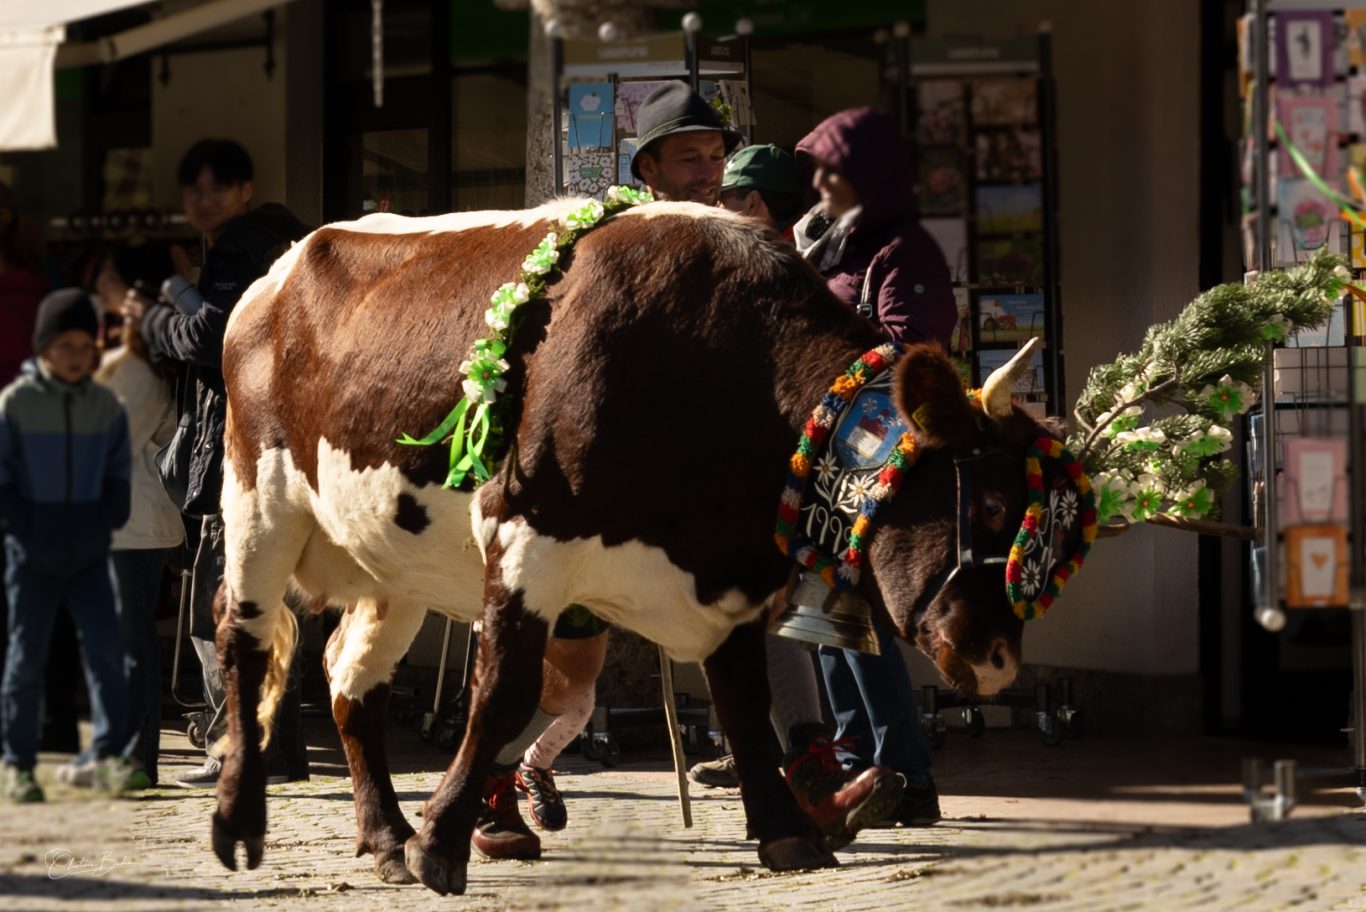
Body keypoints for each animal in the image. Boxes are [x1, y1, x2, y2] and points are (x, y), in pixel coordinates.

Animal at [208, 197, 1075, 896]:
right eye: (990, 502)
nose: (998, 659)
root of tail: (279, 269)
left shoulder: (728, 587)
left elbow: (744, 704)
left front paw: (786, 834)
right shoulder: (525, 533)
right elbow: (502, 693)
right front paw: (442, 846)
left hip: (391, 563)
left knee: (351, 681)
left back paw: (385, 836)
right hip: (257, 499)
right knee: (243, 642)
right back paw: (242, 822)